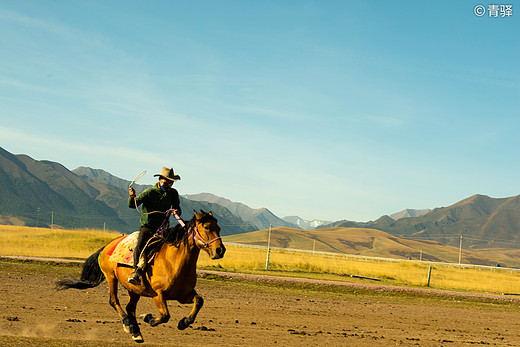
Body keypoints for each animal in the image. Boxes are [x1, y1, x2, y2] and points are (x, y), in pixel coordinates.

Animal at [56, 211, 225, 344]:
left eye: (219, 228)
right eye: (207, 227)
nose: (220, 250)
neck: (173, 262)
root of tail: (108, 245)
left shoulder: (183, 295)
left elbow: (199, 301)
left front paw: (184, 322)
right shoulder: (158, 295)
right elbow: (165, 316)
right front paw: (148, 318)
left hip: (134, 289)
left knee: (130, 308)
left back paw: (136, 332)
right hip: (111, 277)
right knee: (114, 301)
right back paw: (127, 324)